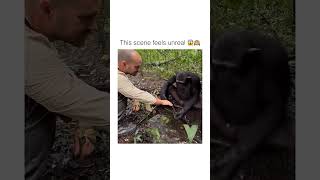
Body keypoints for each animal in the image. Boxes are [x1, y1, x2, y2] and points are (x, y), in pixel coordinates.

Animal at [210, 31, 290, 180]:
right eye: (218, 66)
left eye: (230, 68)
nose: (223, 76)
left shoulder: (268, 63)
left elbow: (273, 105)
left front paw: (237, 153)